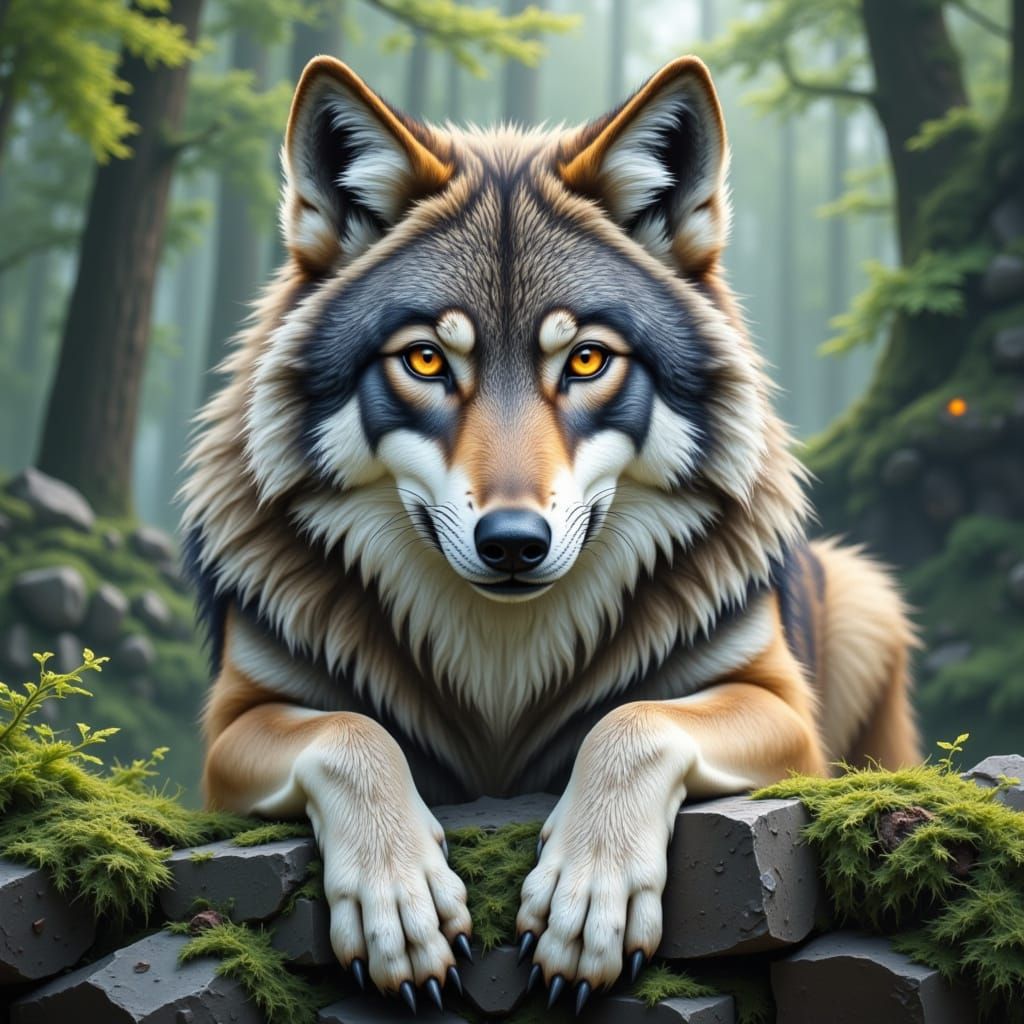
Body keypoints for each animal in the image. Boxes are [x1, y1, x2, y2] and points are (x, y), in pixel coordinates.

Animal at [182, 54, 919, 1013]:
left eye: (587, 359)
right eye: (427, 359)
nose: (511, 542)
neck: (501, 671)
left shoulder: (786, 715)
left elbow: (633, 721)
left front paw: (588, 898)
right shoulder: (230, 730)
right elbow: (349, 735)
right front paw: (399, 902)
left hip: (867, 598)